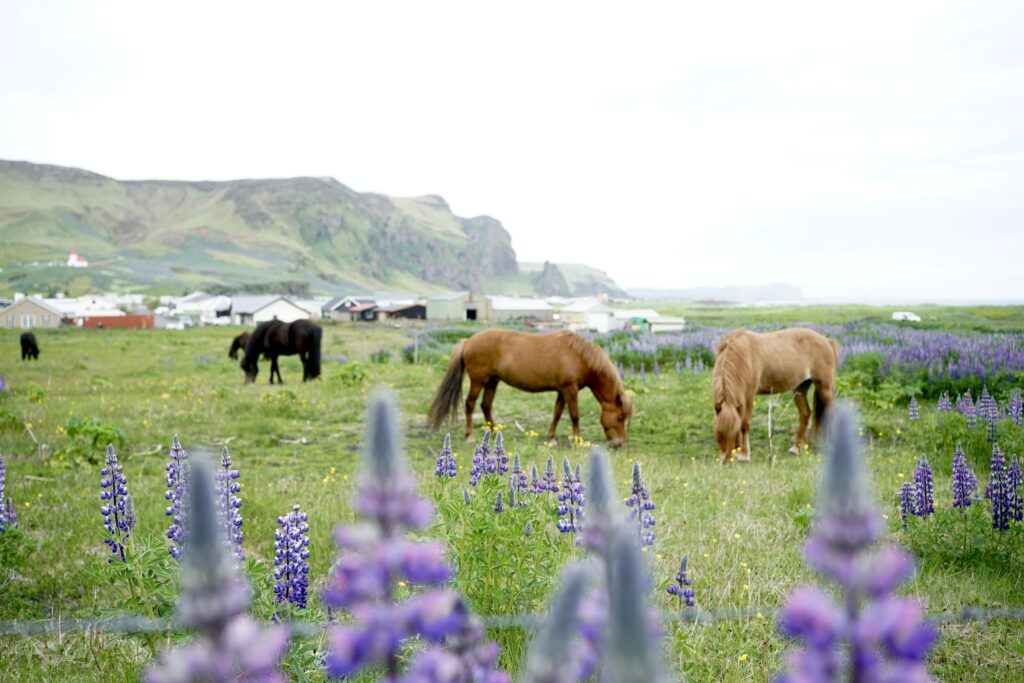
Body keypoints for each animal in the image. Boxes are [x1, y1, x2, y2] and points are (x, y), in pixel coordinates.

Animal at [427, 328, 633, 447]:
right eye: (620, 417)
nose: (620, 443)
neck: (579, 356)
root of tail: (468, 341)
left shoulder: (562, 390)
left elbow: (557, 414)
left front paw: (551, 438)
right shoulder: (570, 389)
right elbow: (574, 416)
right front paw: (578, 440)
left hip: (493, 381)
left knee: (486, 406)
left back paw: (494, 433)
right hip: (479, 381)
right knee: (470, 404)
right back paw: (469, 436)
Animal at [712, 327, 838, 463]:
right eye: (718, 432)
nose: (726, 461)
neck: (742, 354)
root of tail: (827, 341)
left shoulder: (749, 396)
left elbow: (744, 424)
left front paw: (744, 455)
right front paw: (738, 450)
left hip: (824, 388)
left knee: (831, 413)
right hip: (800, 388)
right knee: (805, 413)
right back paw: (796, 447)